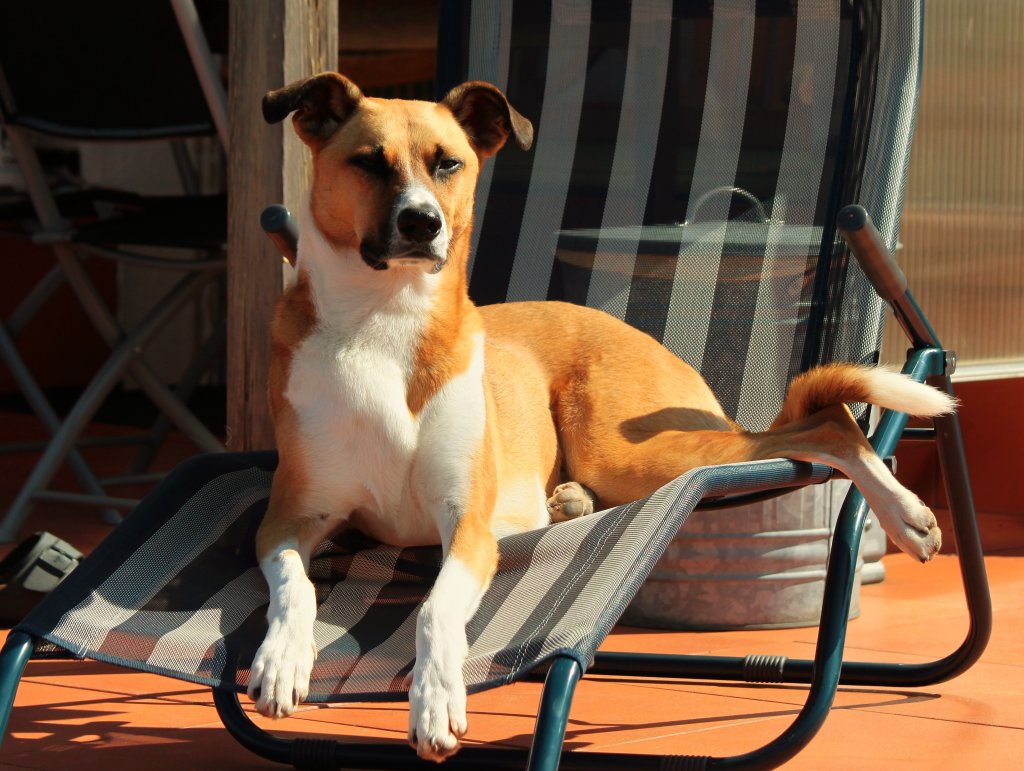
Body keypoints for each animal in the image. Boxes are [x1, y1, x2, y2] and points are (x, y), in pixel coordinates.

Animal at [249, 72, 958, 757]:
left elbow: (432, 609)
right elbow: (295, 585)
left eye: (447, 162)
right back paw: (570, 503)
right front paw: (281, 658)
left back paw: (906, 515)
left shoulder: (468, 525)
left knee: (829, 423)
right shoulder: (289, 517)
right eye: (369, 162)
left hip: (632, 451)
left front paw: (436, 700)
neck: (384, 321)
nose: (421, 223)